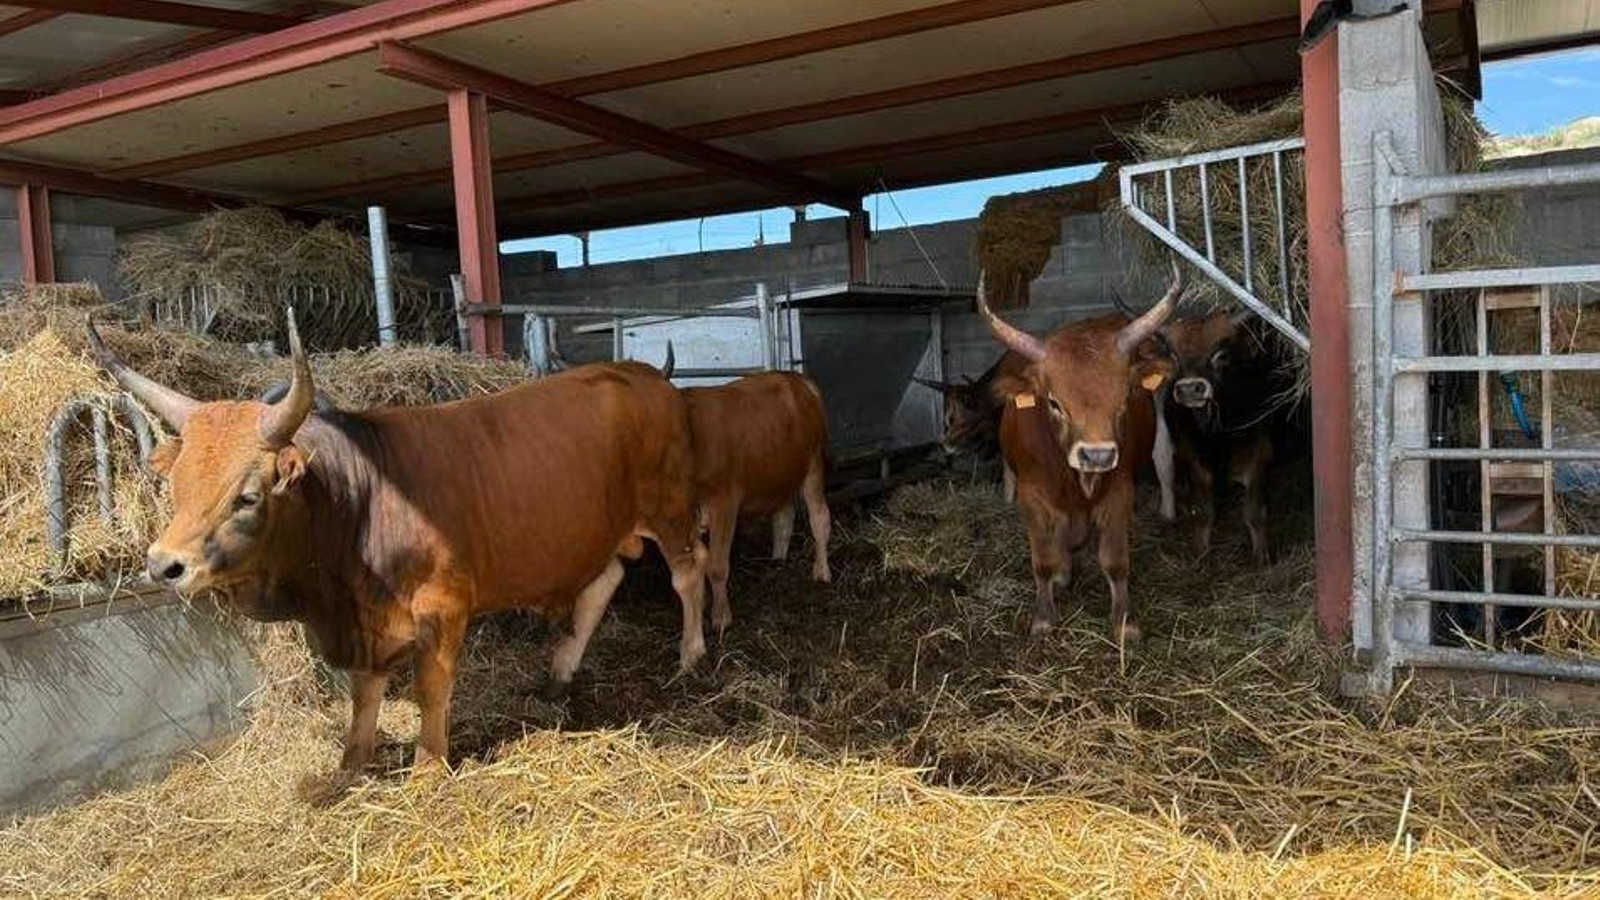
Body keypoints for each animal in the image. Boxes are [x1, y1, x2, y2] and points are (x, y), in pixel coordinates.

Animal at [87, 311, 708, 772]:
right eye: (175, 484)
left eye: (248, 495)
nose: (165, 566)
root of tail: (646, 375)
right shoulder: (365, 624)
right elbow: (365, 694)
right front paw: (351, 763)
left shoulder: (444, 606)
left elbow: (431, 687)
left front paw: (428, 768)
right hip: (600, 531)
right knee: (604, 581)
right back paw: (560, 673)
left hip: (670, 509)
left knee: (689, 570)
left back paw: (691, 654)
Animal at [661, 358, 831, 635]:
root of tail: (795, 378)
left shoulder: (724, 503)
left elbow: (717, 565)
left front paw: (721, 618)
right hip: (779, 472)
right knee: (784, 516)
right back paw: (778, 560)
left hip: (813, 465)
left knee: (819, 517)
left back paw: (822, 572)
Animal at [979, 261, 1182, 642]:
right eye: (1054, 402)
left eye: (1124, 399)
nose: (1097, 455)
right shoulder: (1031, 497)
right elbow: (1043, 561)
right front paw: (1044, 618)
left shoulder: (1119, 492)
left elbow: (1115, 562)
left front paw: (1124, 622)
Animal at [1146, 308, 1285, 564]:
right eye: (1175, 357)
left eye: (1221, 355)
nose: (1190, 389)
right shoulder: (1191, 452)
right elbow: (1204, 509)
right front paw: (1200, 551)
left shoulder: (1261, 448)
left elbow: (1253, 509)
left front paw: (1262, 554)